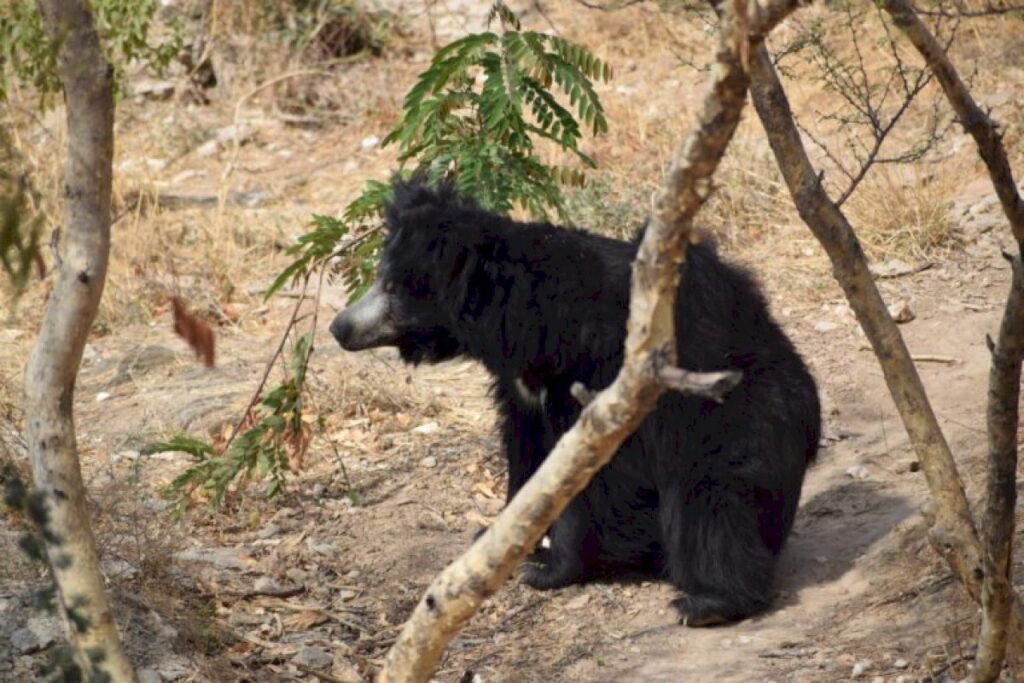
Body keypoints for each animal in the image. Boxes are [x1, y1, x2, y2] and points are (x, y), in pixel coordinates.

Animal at [329, 180, 821, 626]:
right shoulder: (521, 391)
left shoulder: (601, 375)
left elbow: (589, 478)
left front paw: (547, 569)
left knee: (713, 500)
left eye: (393, 287)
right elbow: (527, 457)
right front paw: (496, 538)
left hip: (739, 414)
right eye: (380, 278)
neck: (525, 328)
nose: (339, 328)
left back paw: (709, 602)